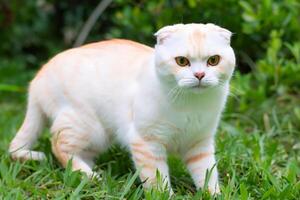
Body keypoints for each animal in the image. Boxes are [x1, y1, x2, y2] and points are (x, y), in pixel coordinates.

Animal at [8, 23, 234, 194]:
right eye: (182, 61)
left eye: (213, 60)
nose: (199, 75)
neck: (192, 105)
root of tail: (37, 80)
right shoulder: (146, 142)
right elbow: (157, 179)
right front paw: (165, 195)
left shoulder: (199, 145)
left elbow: (207, 174)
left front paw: (213, 195)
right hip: (87, 125)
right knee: (59, 146)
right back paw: (90, 176)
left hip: (100, 136)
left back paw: (94, 173)